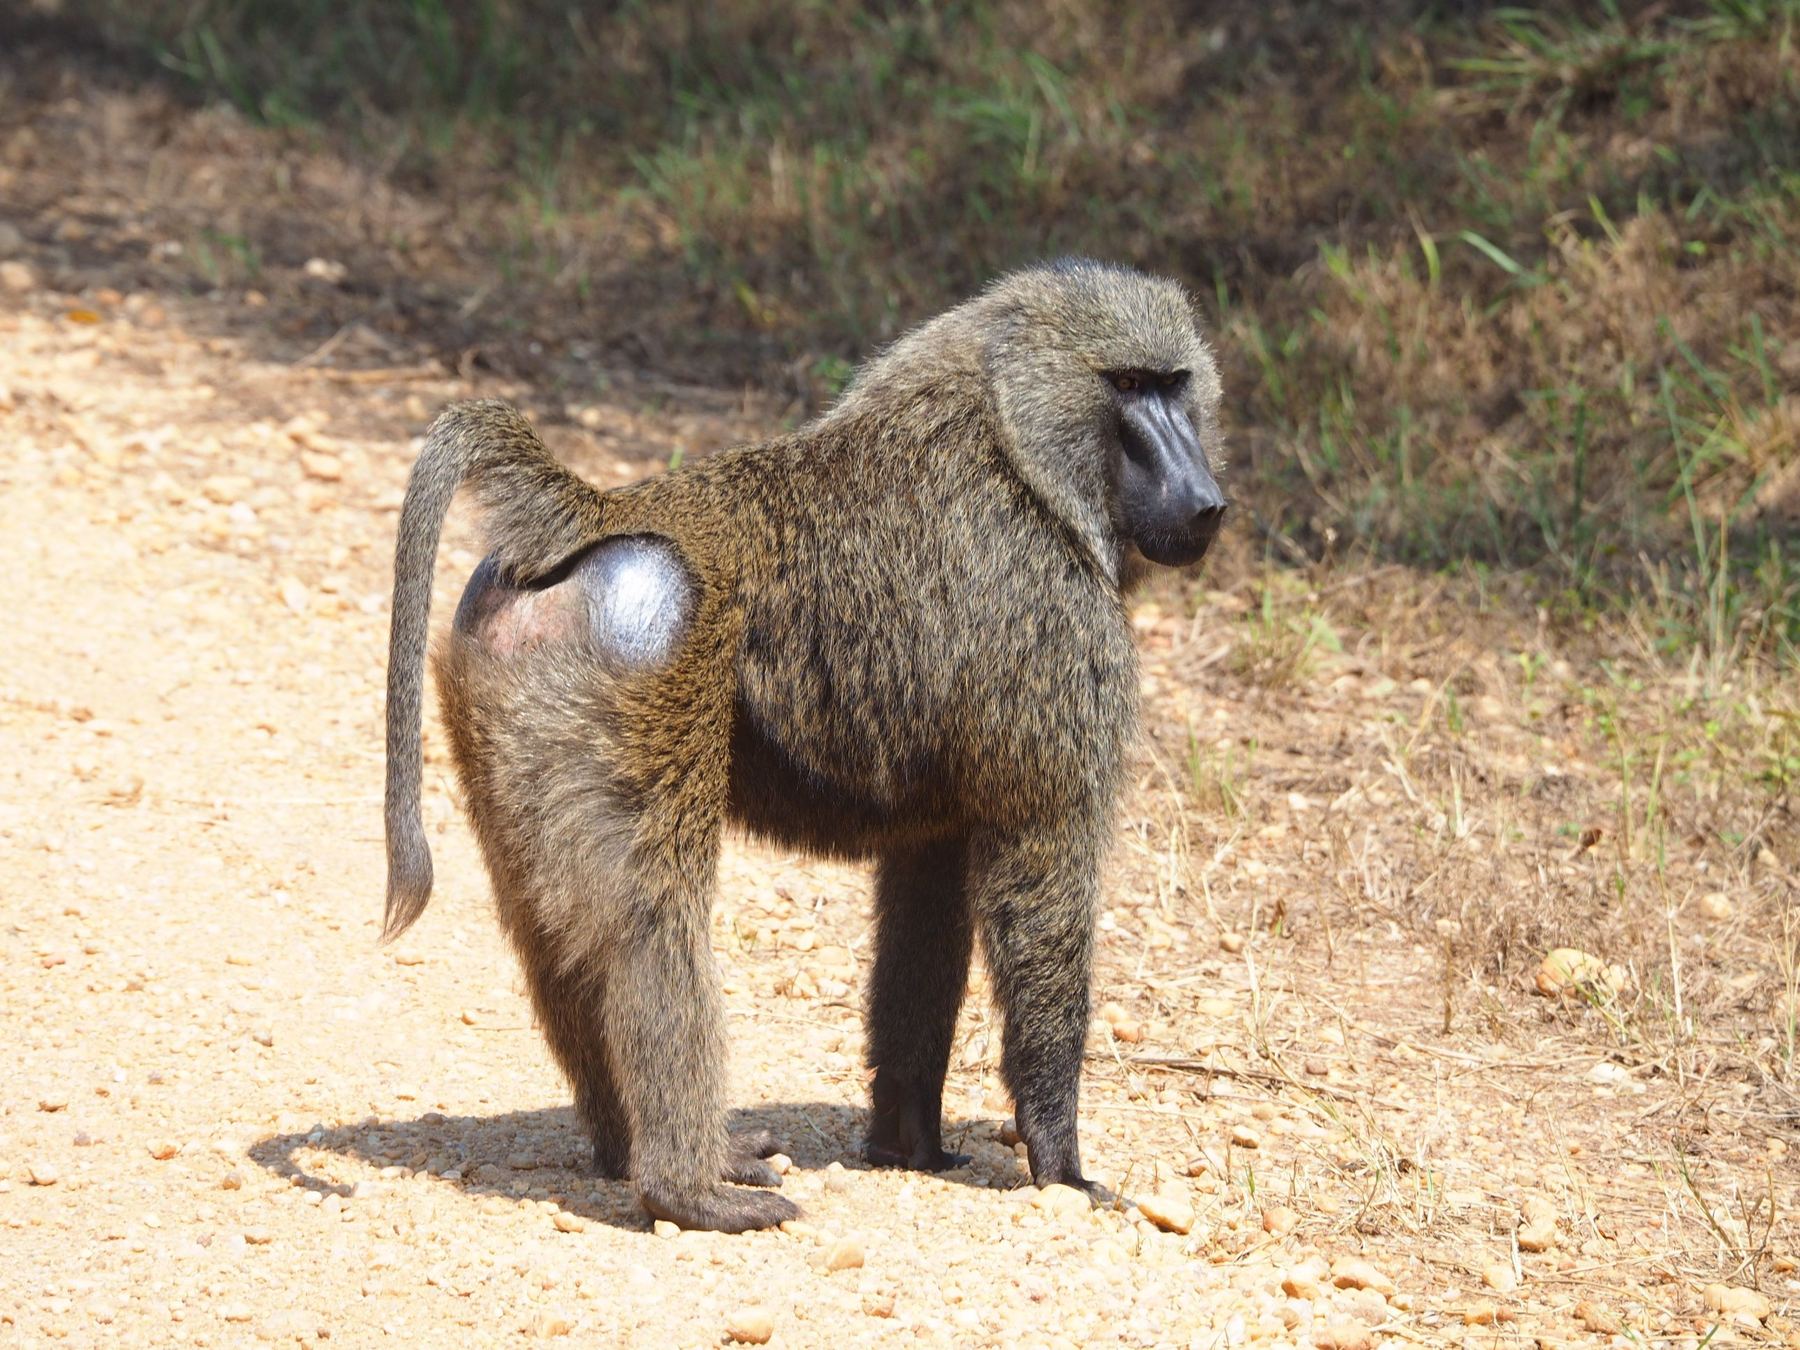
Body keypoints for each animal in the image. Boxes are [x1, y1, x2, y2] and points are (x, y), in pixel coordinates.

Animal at [383, 259, 1228, 1233]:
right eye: (1126, 386)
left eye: (1174, 383)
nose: (1206, 503)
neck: (1013, 438)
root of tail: (599, 510)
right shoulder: (1055, 643)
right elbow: (1040, 884)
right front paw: (1063, 1166)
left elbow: (925, 913)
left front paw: (909, 1147)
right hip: (645, 653)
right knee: (645, 926)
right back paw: (687, 1188)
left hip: (501, 696)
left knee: (551, 933)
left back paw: (632, 1152)